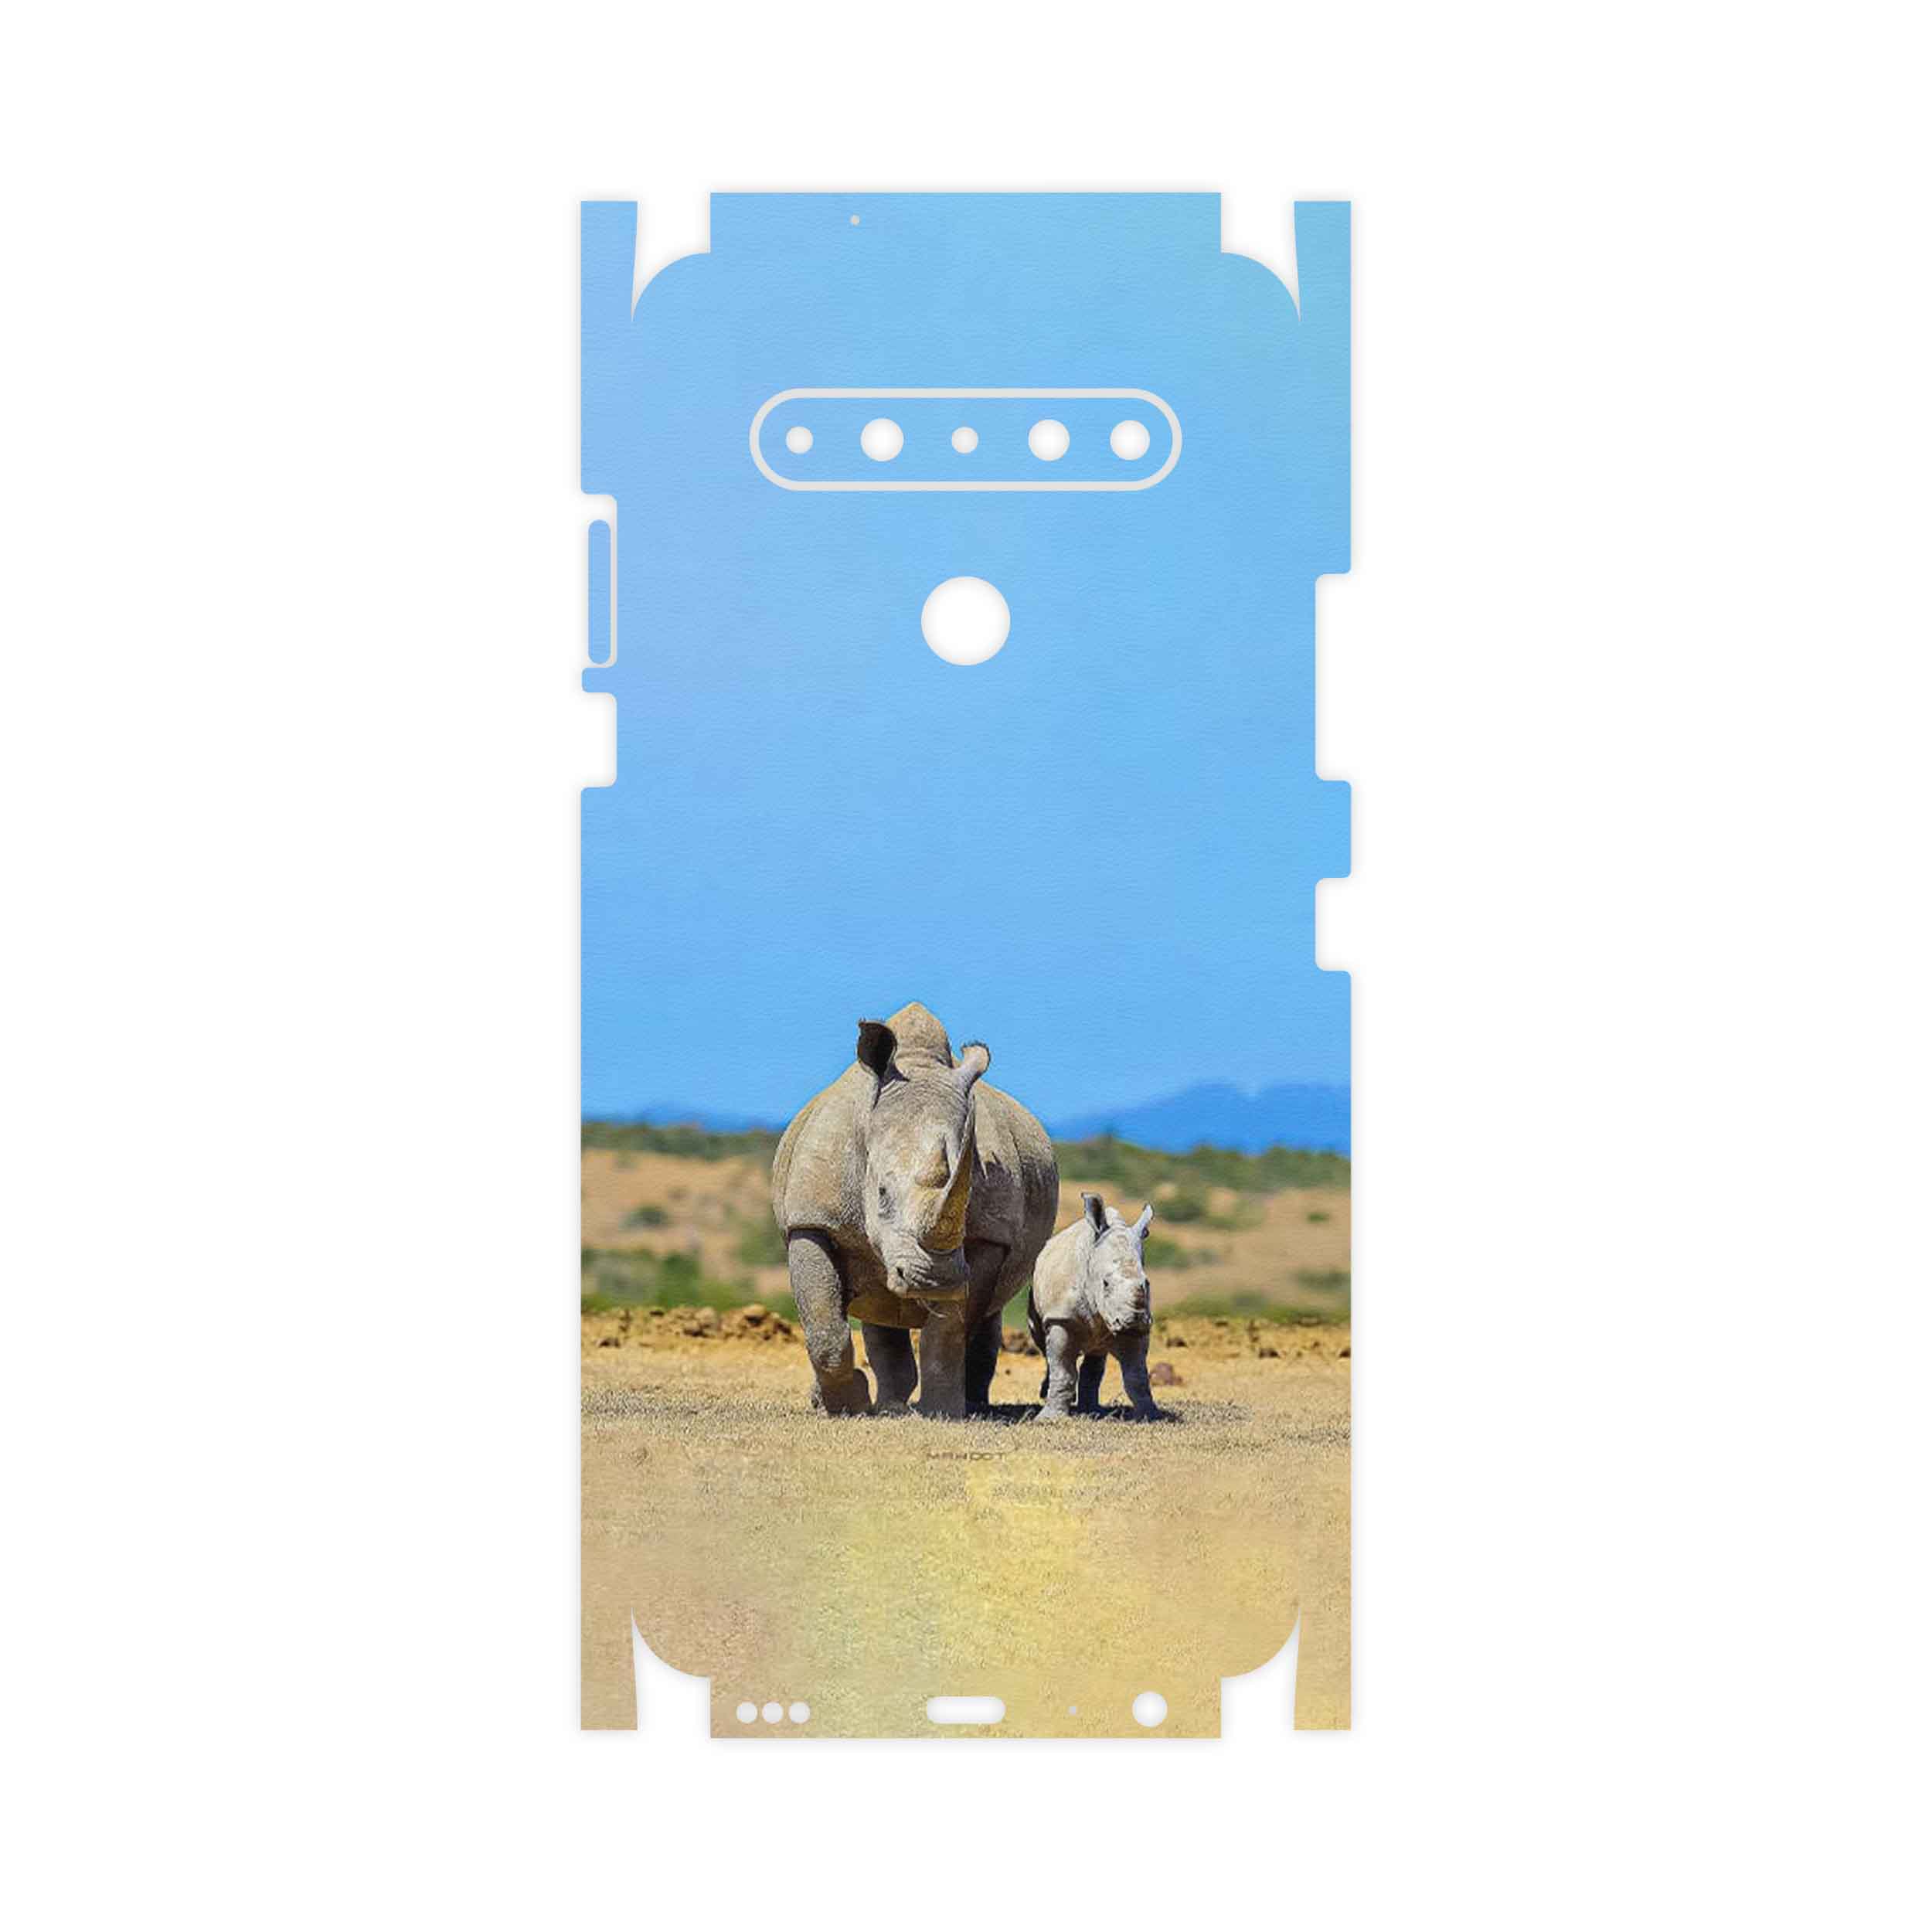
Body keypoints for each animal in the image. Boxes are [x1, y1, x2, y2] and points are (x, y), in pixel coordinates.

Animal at [770, 1002, 1060, 1418]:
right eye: (881, 1193)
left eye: (967, 1197)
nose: (934, 1279)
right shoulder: (812, 1220)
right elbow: (824, 1324)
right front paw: (848, 1405)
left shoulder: (988, 1237)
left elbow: (949, 1330)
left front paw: (942, 1411)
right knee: (876, 1306)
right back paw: (880, 1405)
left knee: (984, 1313)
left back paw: (968, 1403)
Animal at [1027, 1193, 1162, 1420]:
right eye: (1105, 1284)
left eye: (1147, 1283)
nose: (1134, 1320)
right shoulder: (1061, 1318)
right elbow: (1062, 1370)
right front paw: (1049, 1419)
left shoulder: (1139, 1328)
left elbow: (1137, 1376)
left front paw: (1150, 1416)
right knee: (1044, 1346)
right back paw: (1048, 1395)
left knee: (1096, 1354)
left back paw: (1091, 1410)